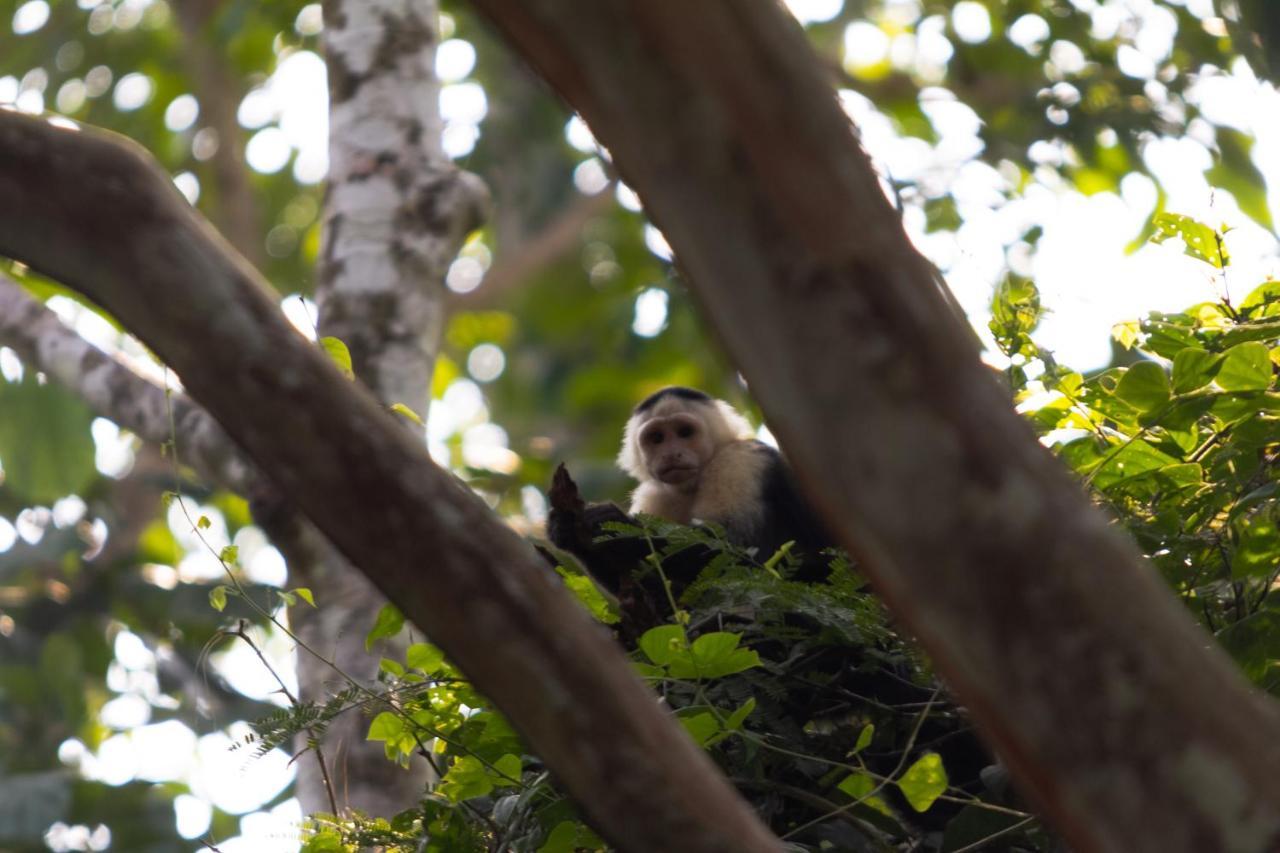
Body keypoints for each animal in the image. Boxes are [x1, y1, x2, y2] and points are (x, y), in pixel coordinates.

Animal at [545, 384, 834, 591]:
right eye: (657, 438)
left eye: (684, 432)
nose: (672, 454)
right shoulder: (656, 495)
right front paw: (566, 530)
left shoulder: (738, 462)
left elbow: (737, 553)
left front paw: (612, 524)